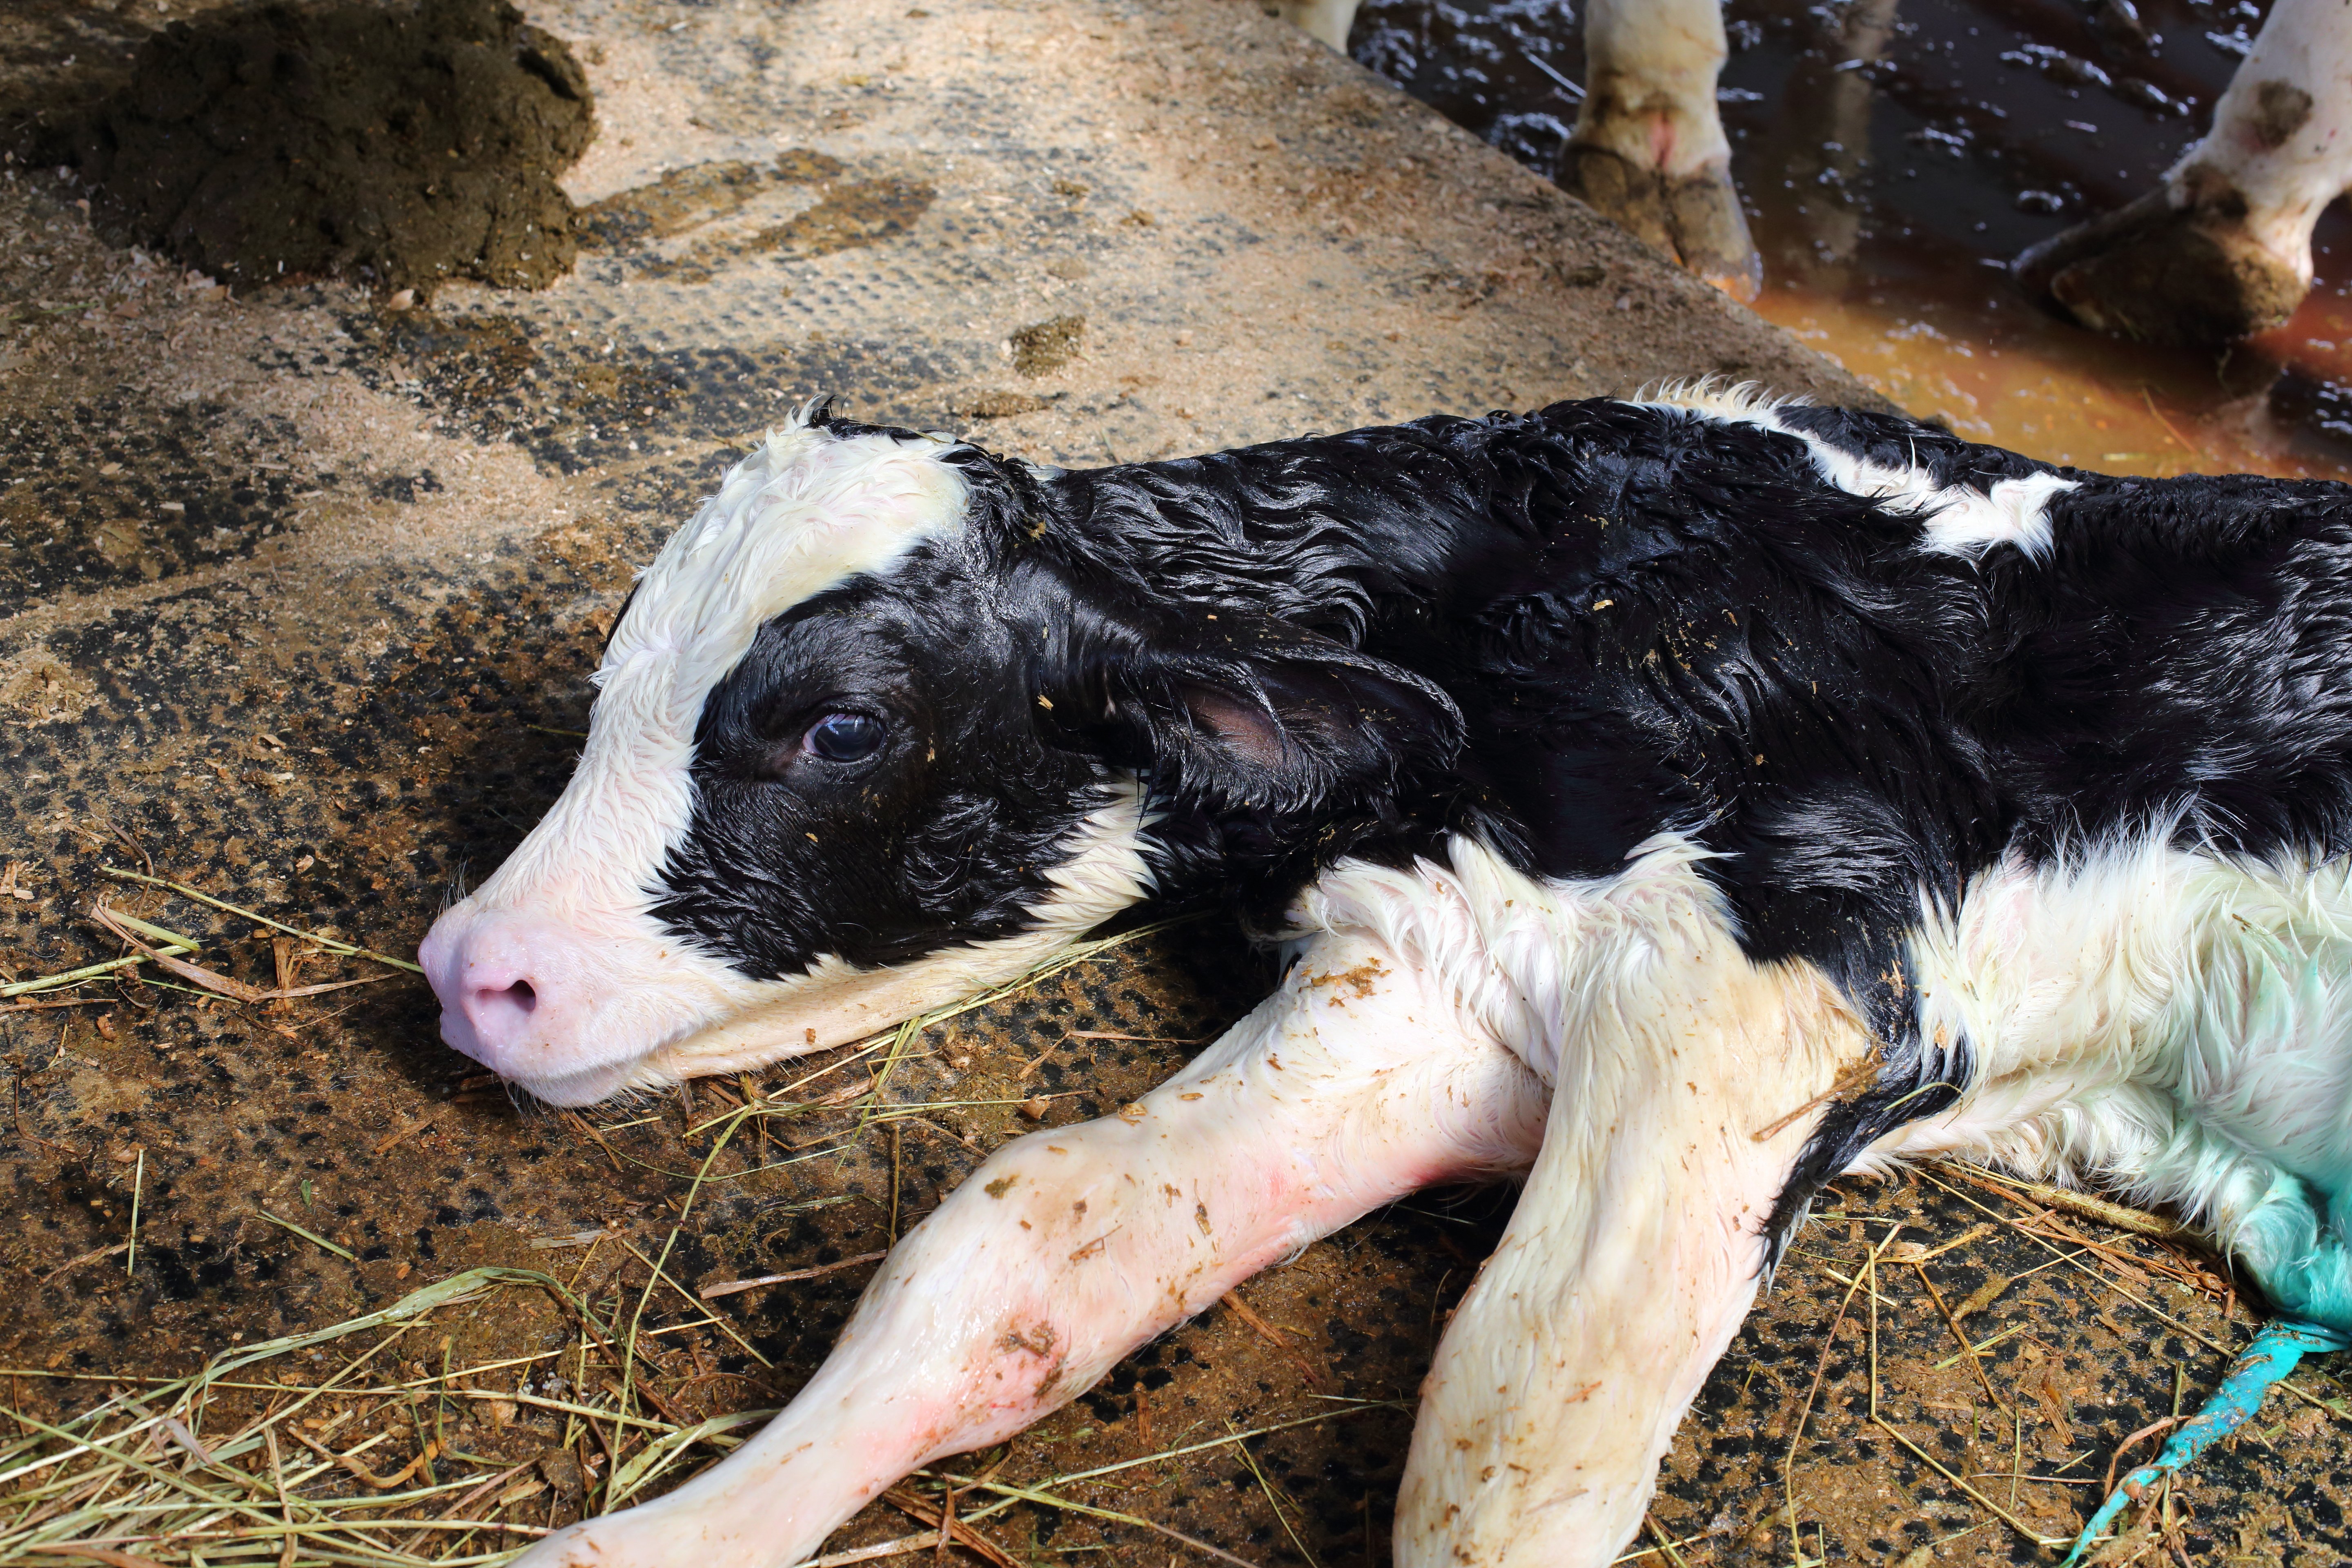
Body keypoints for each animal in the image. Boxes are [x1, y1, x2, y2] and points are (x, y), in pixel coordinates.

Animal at [419, 395, 2352, 1568]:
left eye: (837, 726)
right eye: (612, 674)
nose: (466, 970)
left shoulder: (1782, 980)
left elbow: (1522, 1418)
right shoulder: (1432, 977)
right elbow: (1022, 1237)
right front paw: (646, 1544)